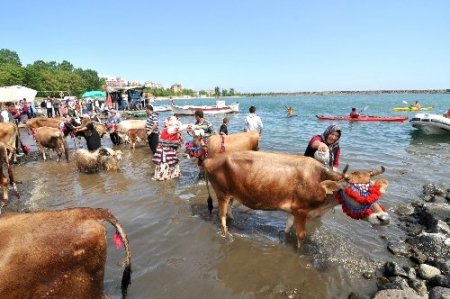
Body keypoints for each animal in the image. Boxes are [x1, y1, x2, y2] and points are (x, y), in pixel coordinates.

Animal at [204, 151, 390, 250]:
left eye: (373, 190)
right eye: (351, 192)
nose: (384, 218)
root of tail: (210, 159)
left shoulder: (292, 210)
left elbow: (287, 228)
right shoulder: (301, 211)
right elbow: (301, 236)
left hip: (232, 195)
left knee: (229, 210)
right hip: (222, 193)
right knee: (221, 217)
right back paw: (226, 234)